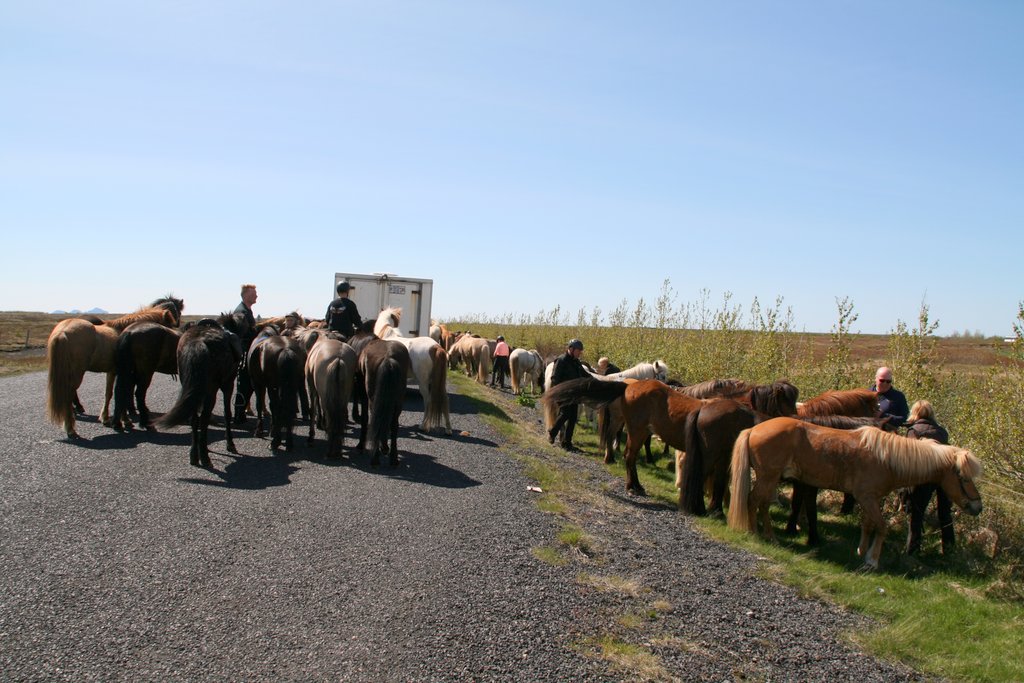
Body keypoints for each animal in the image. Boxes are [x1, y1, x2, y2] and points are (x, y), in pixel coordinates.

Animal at [46, 296, 184, 439]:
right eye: (176, 313)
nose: (177, 331)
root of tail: (62, 332)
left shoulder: (114, 371)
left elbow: (111, 393)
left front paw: (111, 419)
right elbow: (124, 392)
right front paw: (126, 417)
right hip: (78, 371)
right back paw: (71, 426)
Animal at [155, 318, 243, 467]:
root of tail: (198, 342)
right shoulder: (228, 384)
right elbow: (227, 413)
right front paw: (230, 444)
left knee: (195, 419)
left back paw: (195, 455)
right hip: (212, 390)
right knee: (204, 419)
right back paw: (205, 457)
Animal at [357, 337, 412, 467]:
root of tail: (389, 358)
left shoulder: (363, 394)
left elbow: (365, 419)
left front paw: (361, 445)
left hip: (372, 398)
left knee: (377, 420)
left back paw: (375, 458)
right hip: (398, 399)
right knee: (393, 424)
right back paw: (393, 458)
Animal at [727, 416, 983, 569]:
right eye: (964, 477)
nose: (977, 506)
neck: (886, 458)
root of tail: (754, 428)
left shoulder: (869, 499)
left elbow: (868, 525)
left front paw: (861, 550)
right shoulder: (867, 497)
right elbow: (881, 526)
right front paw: (872, 560)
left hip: (770, 478)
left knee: (762, 504)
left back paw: (770, 536)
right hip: (768, 477)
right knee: (753, 500)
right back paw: (754, 532)